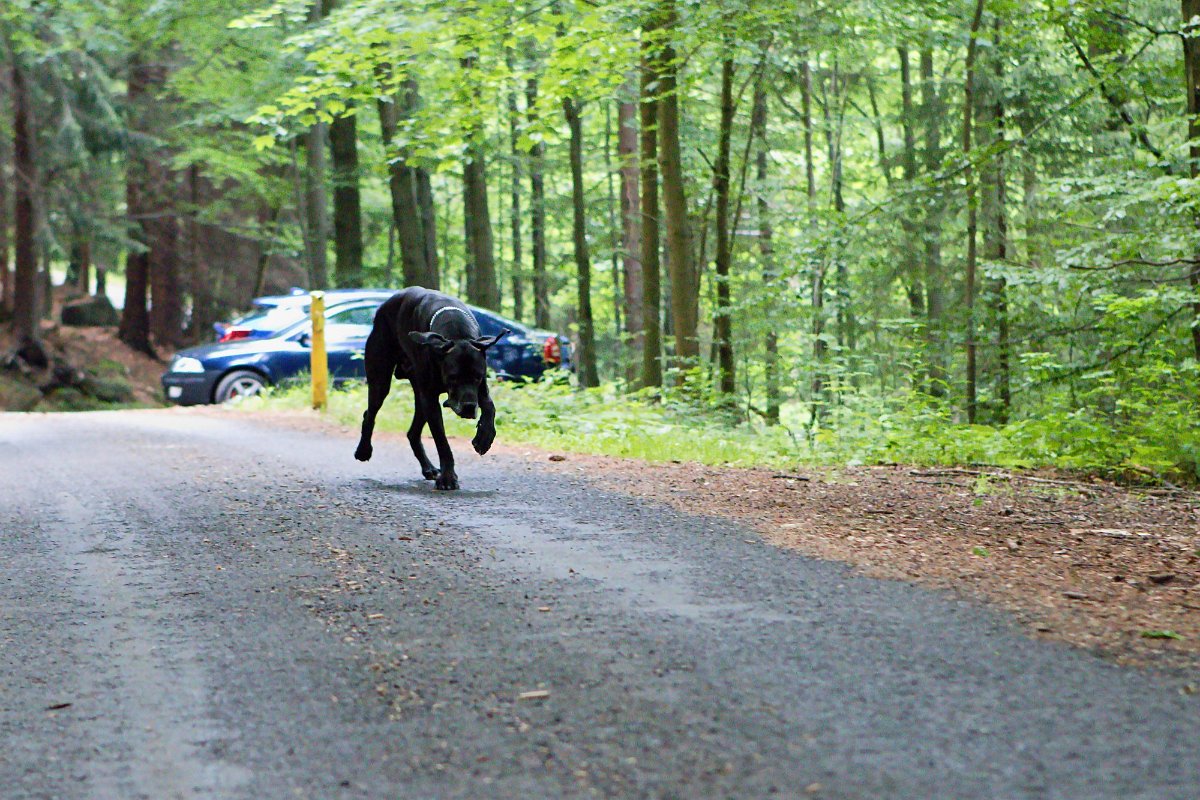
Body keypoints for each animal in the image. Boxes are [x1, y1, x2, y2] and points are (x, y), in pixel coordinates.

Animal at [352, 284, 508, 491]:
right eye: (452, 377)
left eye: (477, 377)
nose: (468, 408)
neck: (457, 332)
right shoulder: (431, 399)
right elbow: (442, 442)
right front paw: (448, 478)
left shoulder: (480, 388)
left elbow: (490, 407)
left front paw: (484, 437)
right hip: (381, 379)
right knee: (370, 413)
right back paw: (363, 450)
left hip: (419, 395)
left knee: (412, 432)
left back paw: (428, 467)